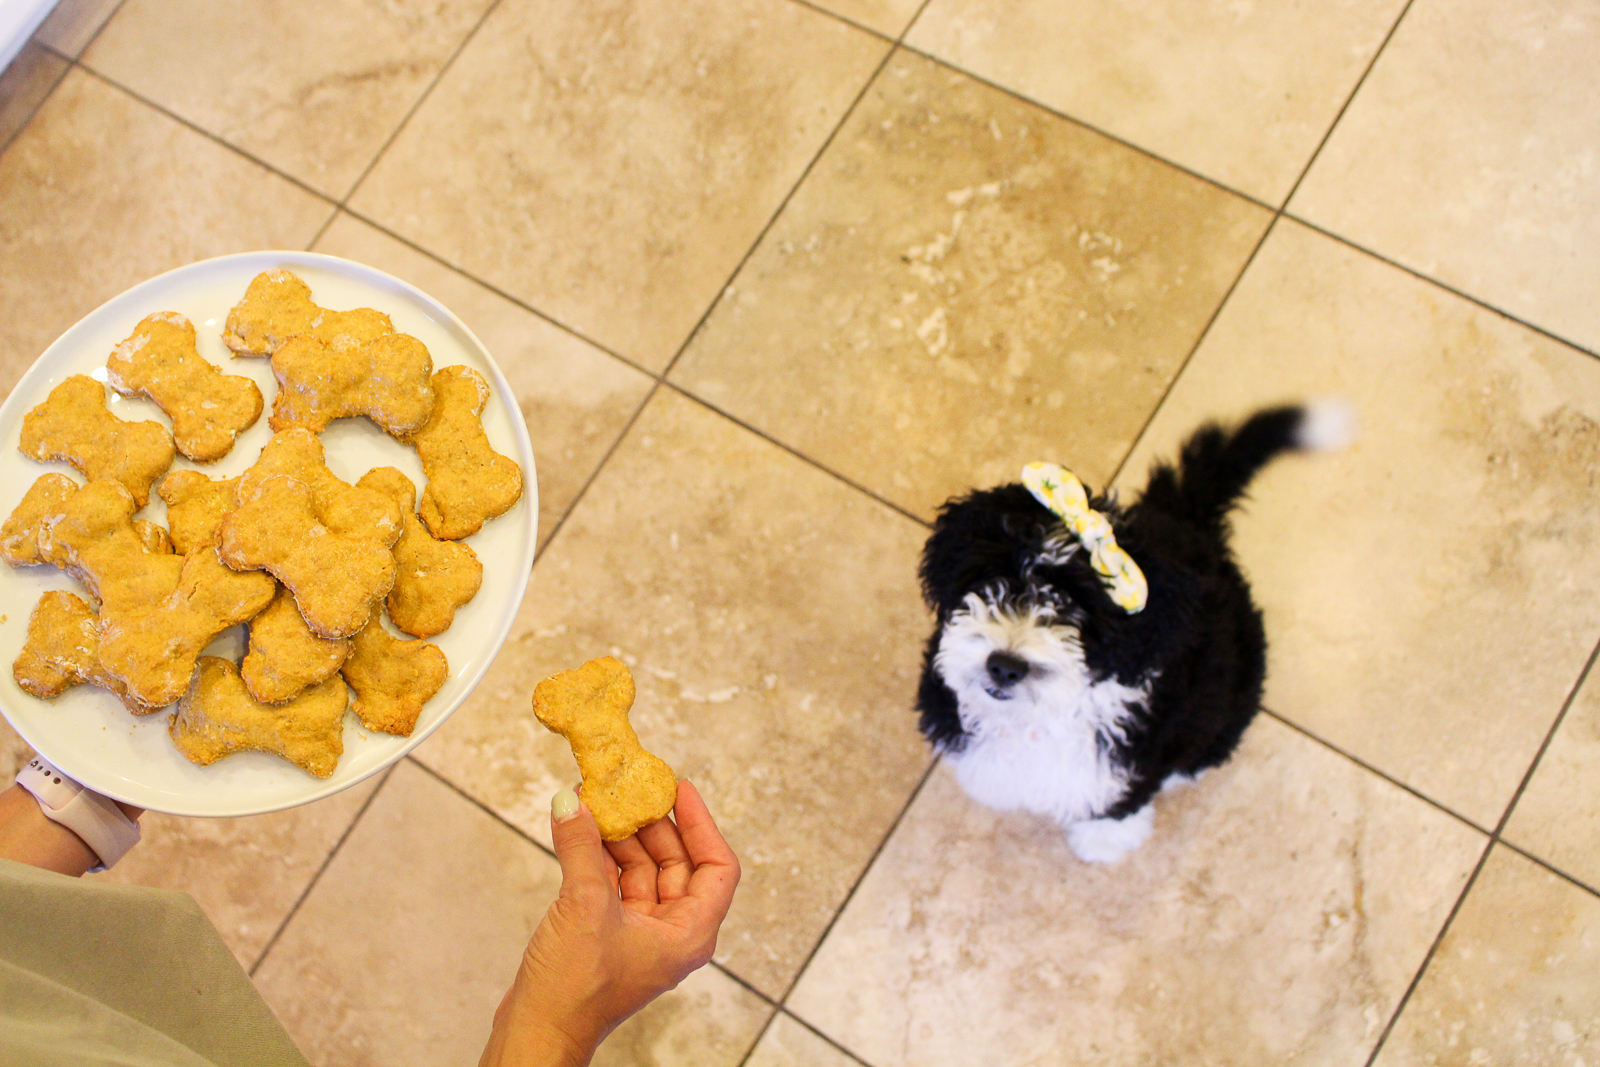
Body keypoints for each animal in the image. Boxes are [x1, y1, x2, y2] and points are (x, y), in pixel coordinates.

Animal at [915, 404, 1350, 863]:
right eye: (993, 581)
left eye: (1076, 608)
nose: (1005, 667)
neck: (1036, 718)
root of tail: (1187, 519)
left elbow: (1120, 797)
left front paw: (1103, 839)